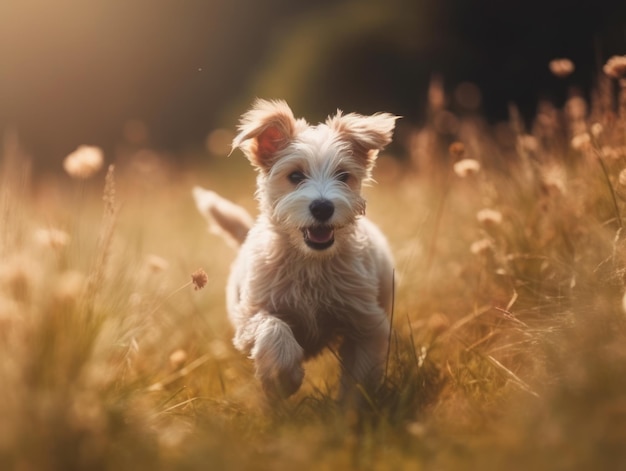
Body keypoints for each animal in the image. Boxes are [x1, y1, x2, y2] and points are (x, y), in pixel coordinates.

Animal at [193, 98, 394, 402]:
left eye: (343, 175)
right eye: (296, 175)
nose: (322, 207)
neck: (309, 261)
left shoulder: (366, 324)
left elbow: (358, 378)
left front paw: (351, 410)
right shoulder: (250, 315)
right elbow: (274, 330)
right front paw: (283, 378)